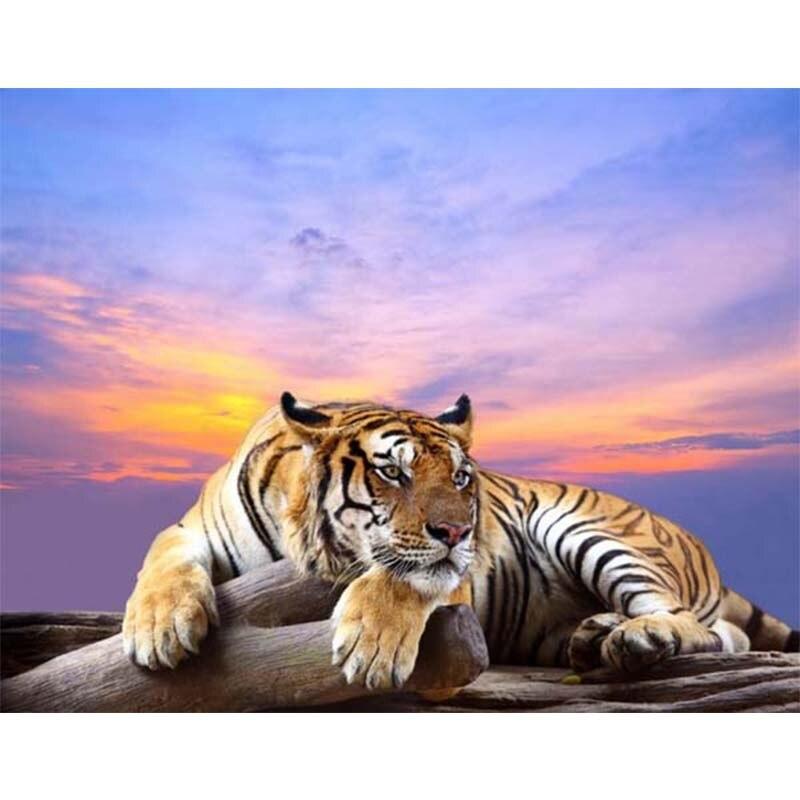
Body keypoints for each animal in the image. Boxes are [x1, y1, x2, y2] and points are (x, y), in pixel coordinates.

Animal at [123, 392, 800, 688]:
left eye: (460, 478)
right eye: (392, 472)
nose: (458, 530)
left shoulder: (450, 571)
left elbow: (403, 578)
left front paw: (371, 648)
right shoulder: (191, 528)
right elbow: (162, 558)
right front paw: (159, 630)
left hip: (589, 530)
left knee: (697, 625)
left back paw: (637, 638)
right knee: (725, 634)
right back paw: (595, 636)